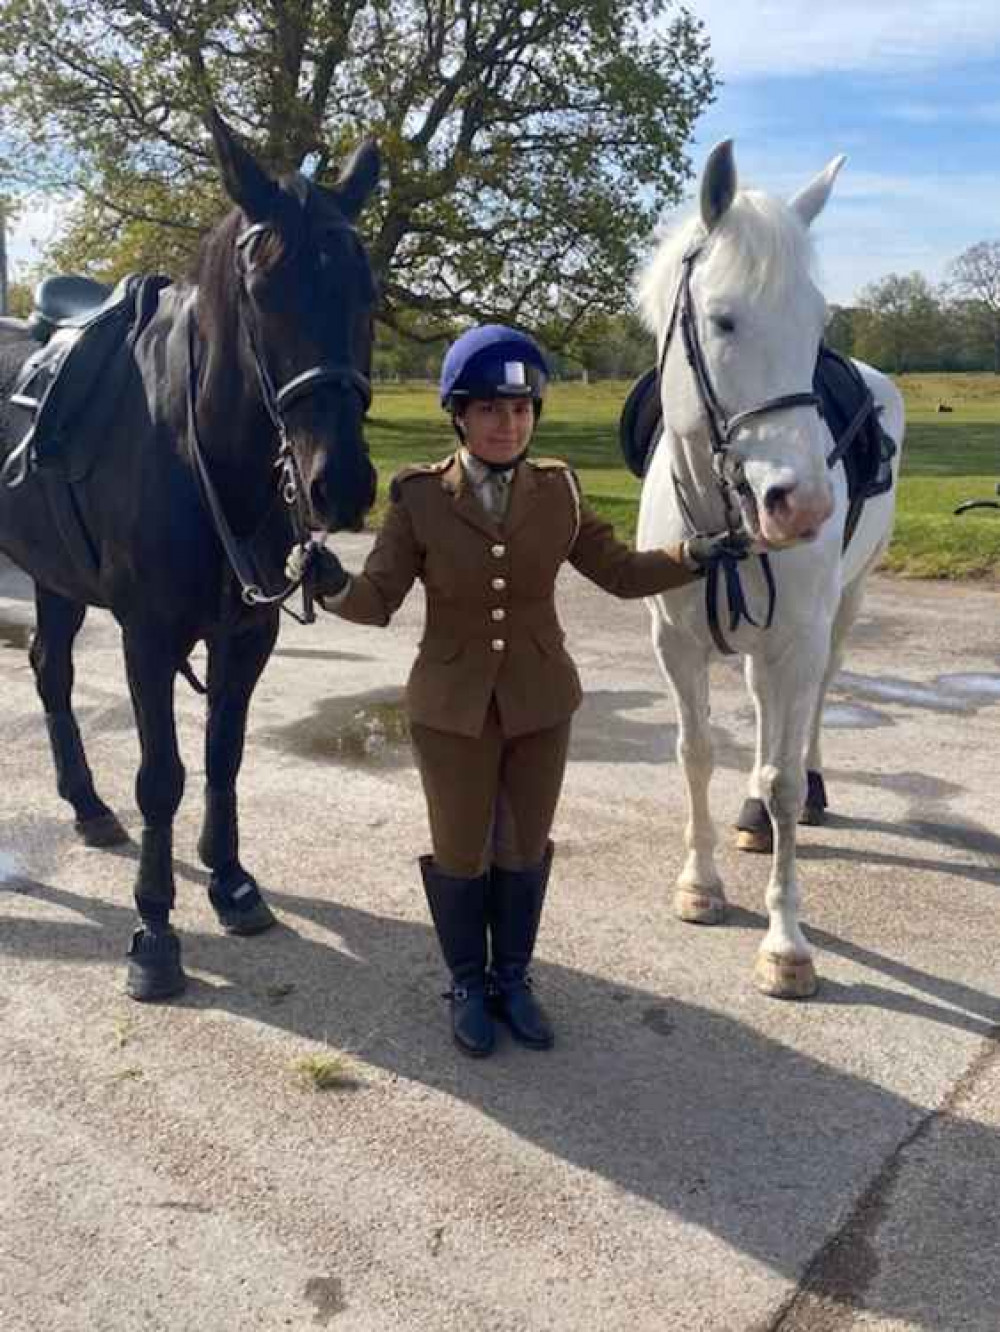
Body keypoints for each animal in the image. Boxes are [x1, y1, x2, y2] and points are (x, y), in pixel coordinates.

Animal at [0, 111, 380, 1001]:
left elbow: (223, 753)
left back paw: (87, 806)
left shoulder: (246, 634)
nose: (339, 482)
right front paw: (155, 930)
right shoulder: (148, 635)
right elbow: (162, 776)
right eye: (263, 291)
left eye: (368, 290)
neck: (194, 447)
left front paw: (231, 881)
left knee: (51, 672)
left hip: (55, 578)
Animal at [641, 143, 905, 1001]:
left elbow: (785, 776)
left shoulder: (799, 642)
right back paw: (751, 814)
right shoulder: (675, 646)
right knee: (763, 713)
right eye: (723, 319)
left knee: (810, 711)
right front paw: (700, 883)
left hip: (841, 613)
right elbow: (696, 753)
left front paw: (788, 944)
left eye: (817, 323)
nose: (803, 505)